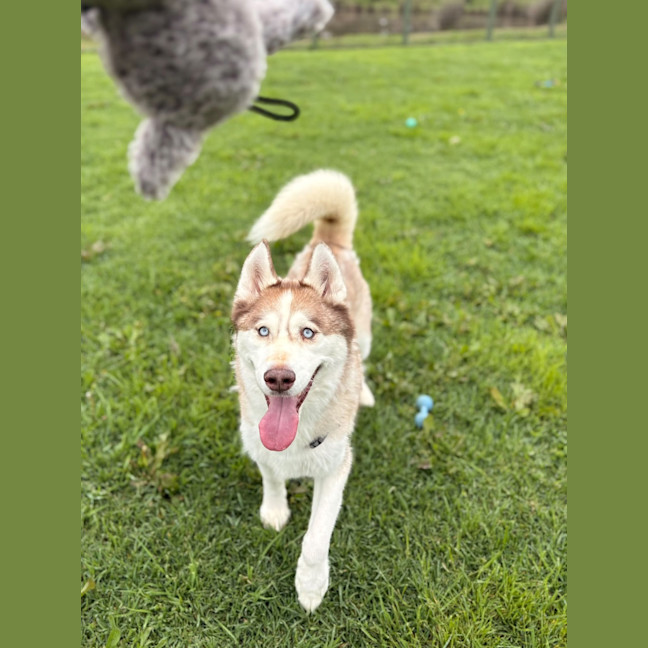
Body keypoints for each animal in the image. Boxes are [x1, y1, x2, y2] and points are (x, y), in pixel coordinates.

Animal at [231, 169, 374, 611]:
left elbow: (315, 537)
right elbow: (271, 477)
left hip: (366, 334)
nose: (278, 378)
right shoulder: (257, 443)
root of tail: (327, 240)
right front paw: (275, 510)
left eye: (308, 333)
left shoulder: (337, 468)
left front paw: (310, 586)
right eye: (263, 331)